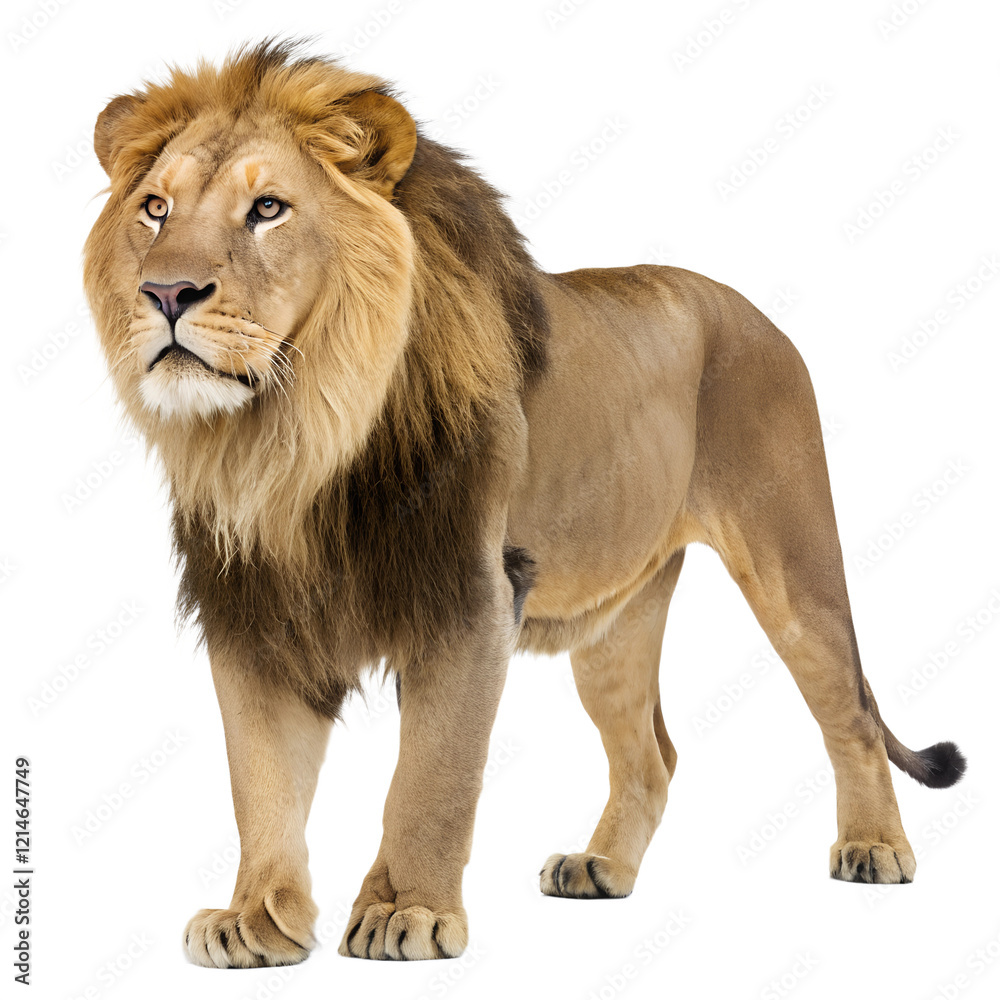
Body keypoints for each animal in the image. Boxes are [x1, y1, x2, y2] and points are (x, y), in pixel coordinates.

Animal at [83, 41, 965, 967]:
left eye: (267, 209)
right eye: (154, 209)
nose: (166, 294)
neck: (293, 439)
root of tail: (761, 316)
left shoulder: (472, 596)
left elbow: (431, 775)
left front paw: (407, 912)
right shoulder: (252, 609)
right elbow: (260, 780)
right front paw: (255, 920)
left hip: (793, 560)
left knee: (850, 711)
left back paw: (875, 848)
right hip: (615, 623)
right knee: (651, 755)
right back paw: (600, 867)